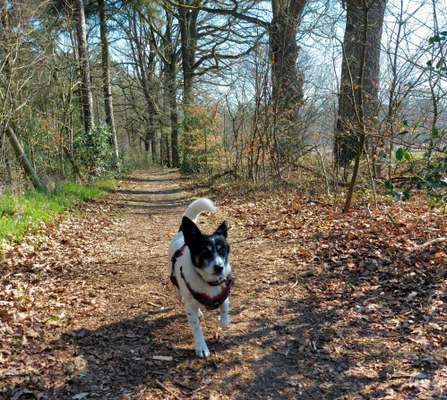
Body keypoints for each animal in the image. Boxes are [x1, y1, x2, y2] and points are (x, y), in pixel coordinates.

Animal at [170, 198, 234, 358]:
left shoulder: (224, 291)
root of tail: (182, 233)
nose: (219, 267)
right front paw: (201, 347)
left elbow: (225, 310)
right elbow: (197, 329)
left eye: (223, 251)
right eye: (205, 253)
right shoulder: (190, 307)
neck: (209, 282)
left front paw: (223, 320)